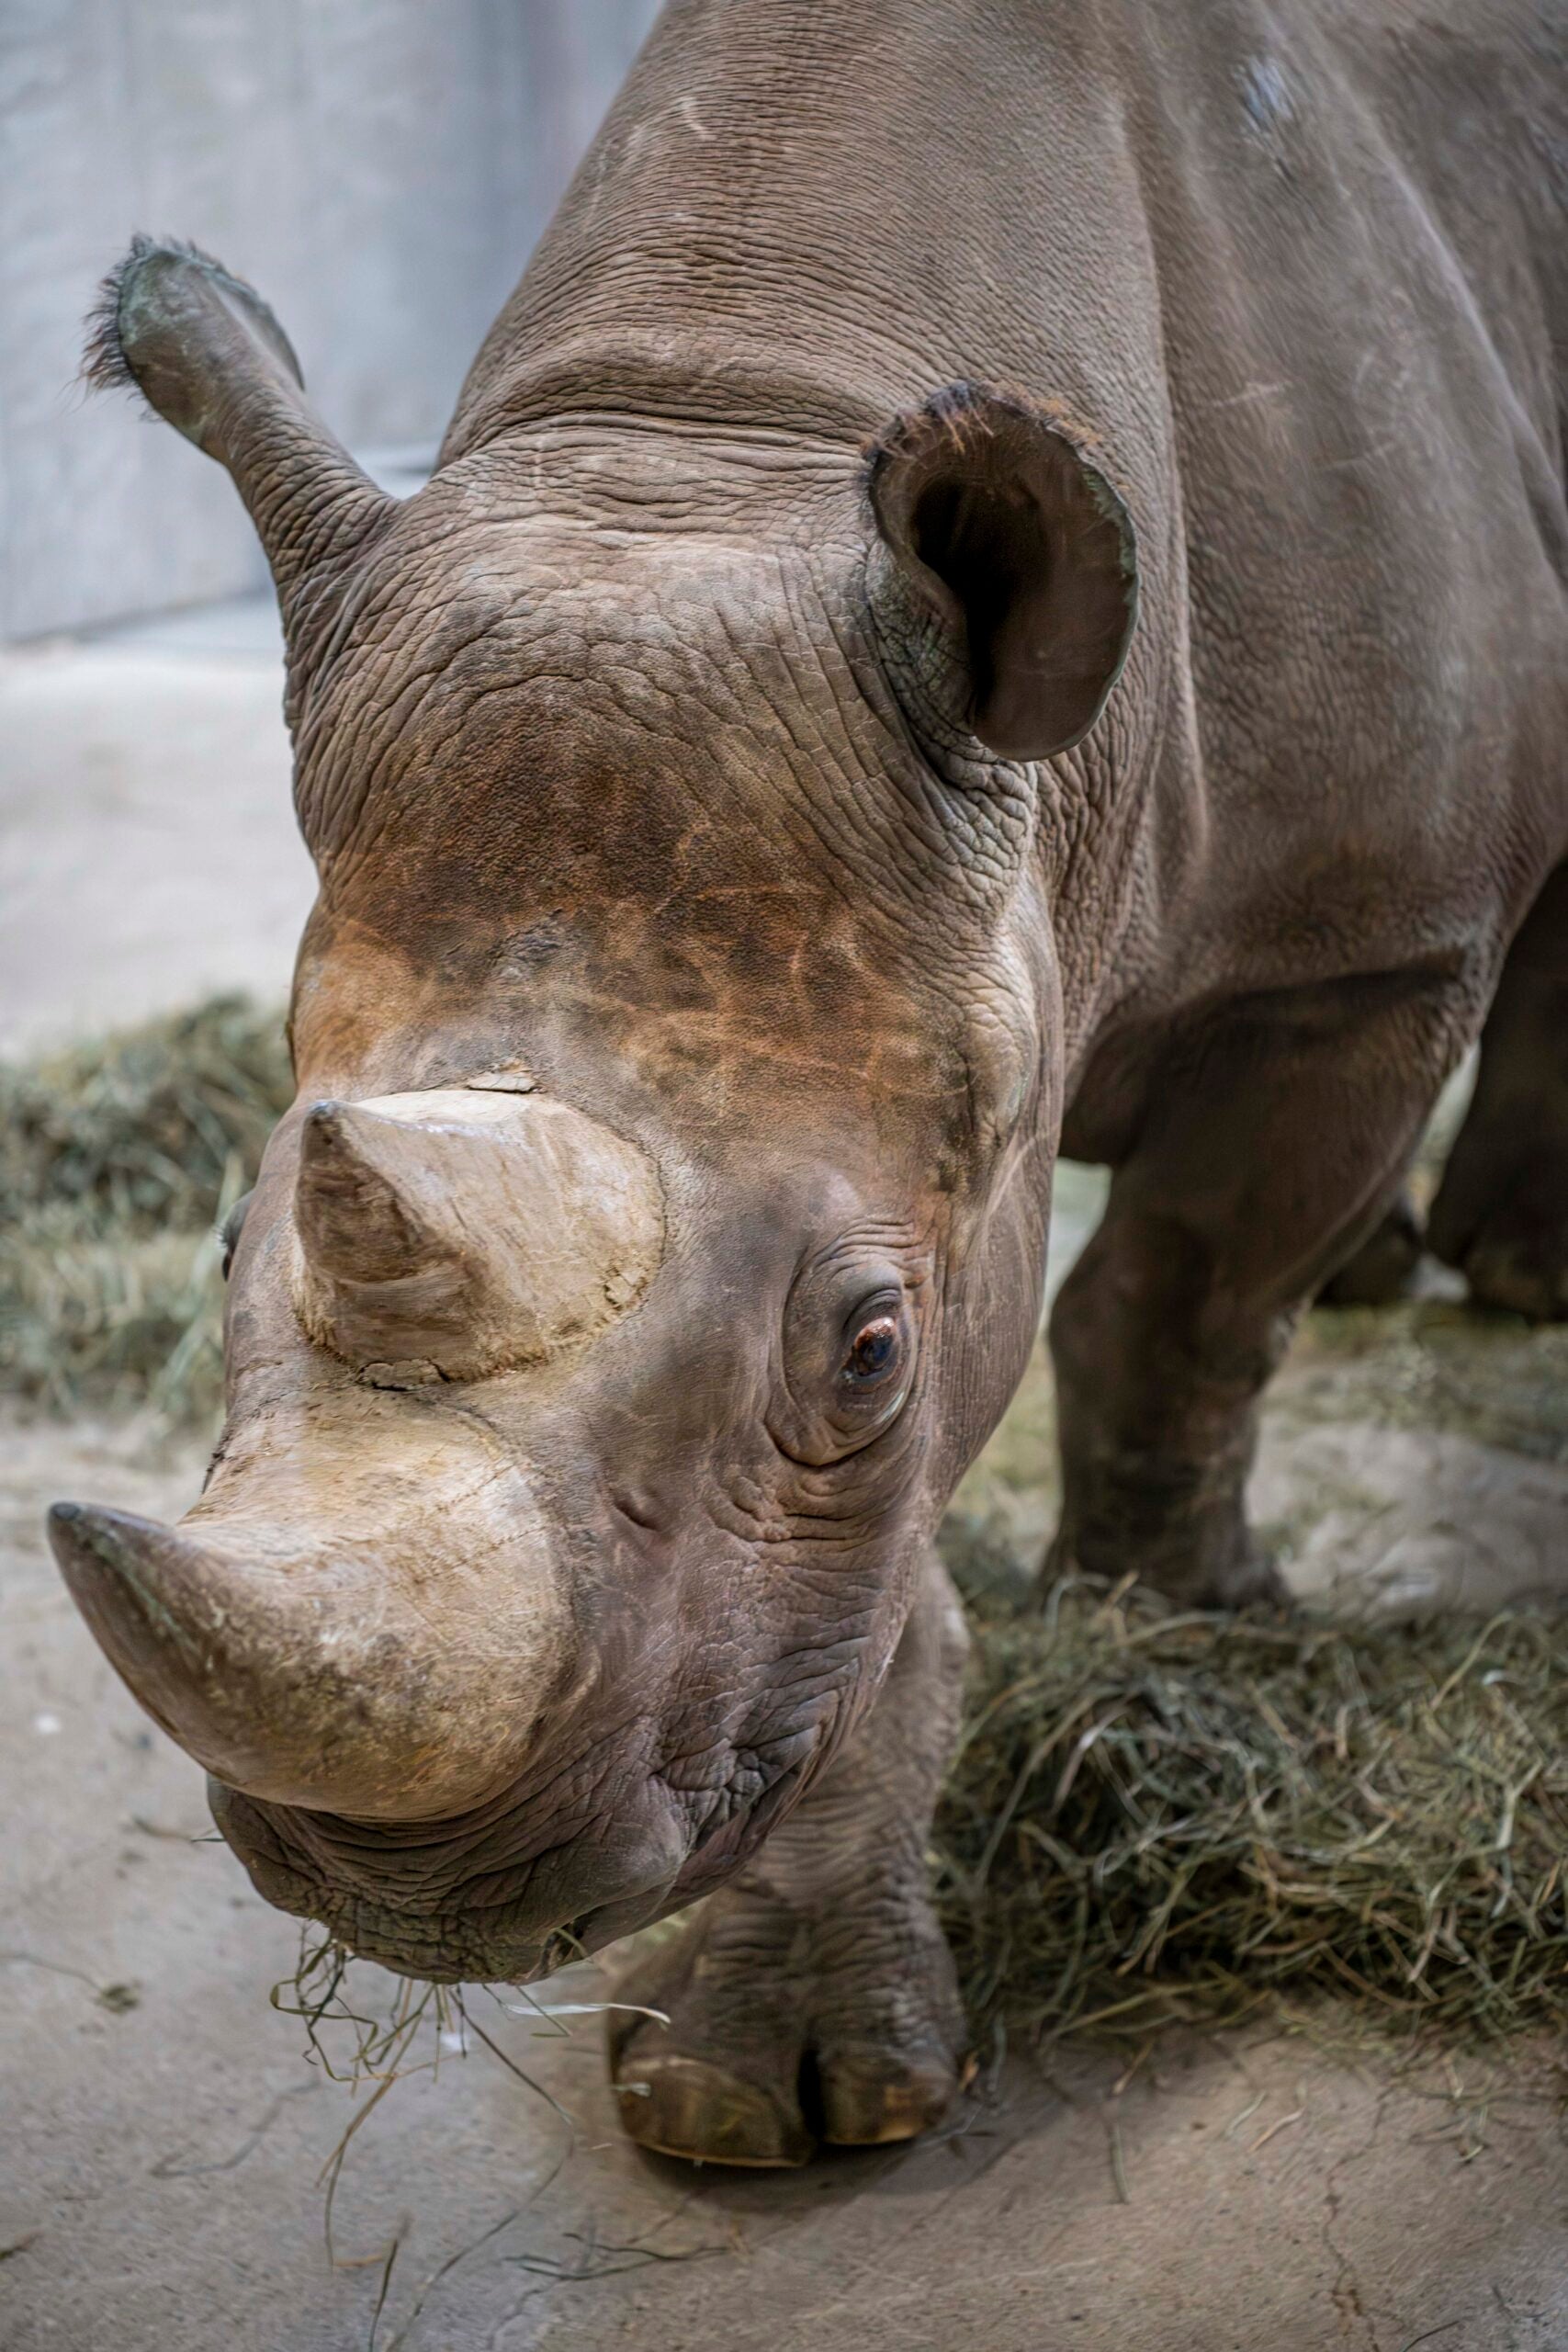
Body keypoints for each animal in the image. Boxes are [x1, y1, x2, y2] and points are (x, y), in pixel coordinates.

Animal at [51, 0, 1568, 2168]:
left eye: (865, 1351)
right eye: (222, 1243)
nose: (406, 1891)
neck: (723, 436)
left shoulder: (1364, 946)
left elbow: (1171, 1304)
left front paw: (1174, 1624)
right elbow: (826, 1639)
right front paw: (744, 2094)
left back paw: (1509, 1283)